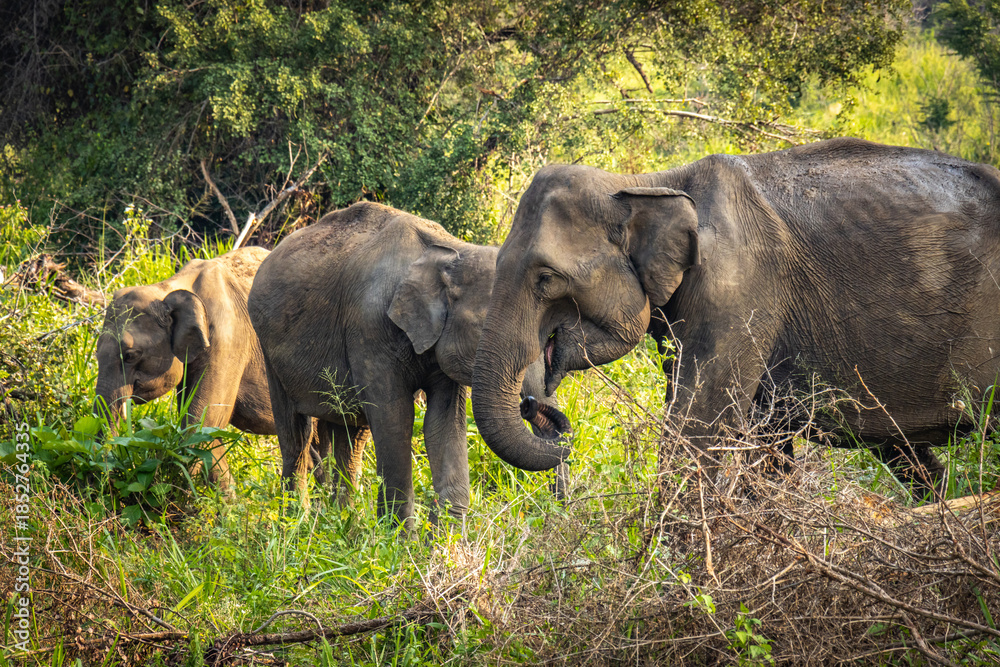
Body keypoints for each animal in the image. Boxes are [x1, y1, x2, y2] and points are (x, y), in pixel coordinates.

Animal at [247, 201, 568, 524]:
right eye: (486, 329)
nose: (528, 402)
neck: (452, 252)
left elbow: (442, 422)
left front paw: (446, 536)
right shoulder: (369, 328)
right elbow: (395, 418)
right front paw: (400, 536)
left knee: (351, 435)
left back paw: (343, 522)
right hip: (268, 347)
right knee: (296, 436)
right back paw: (296, 523)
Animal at [470, 137, 1000, 499]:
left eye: (544, 278)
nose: (534, 404)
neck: (649, 181)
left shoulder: (738, 284)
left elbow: (695, 428)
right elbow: (763, 446)